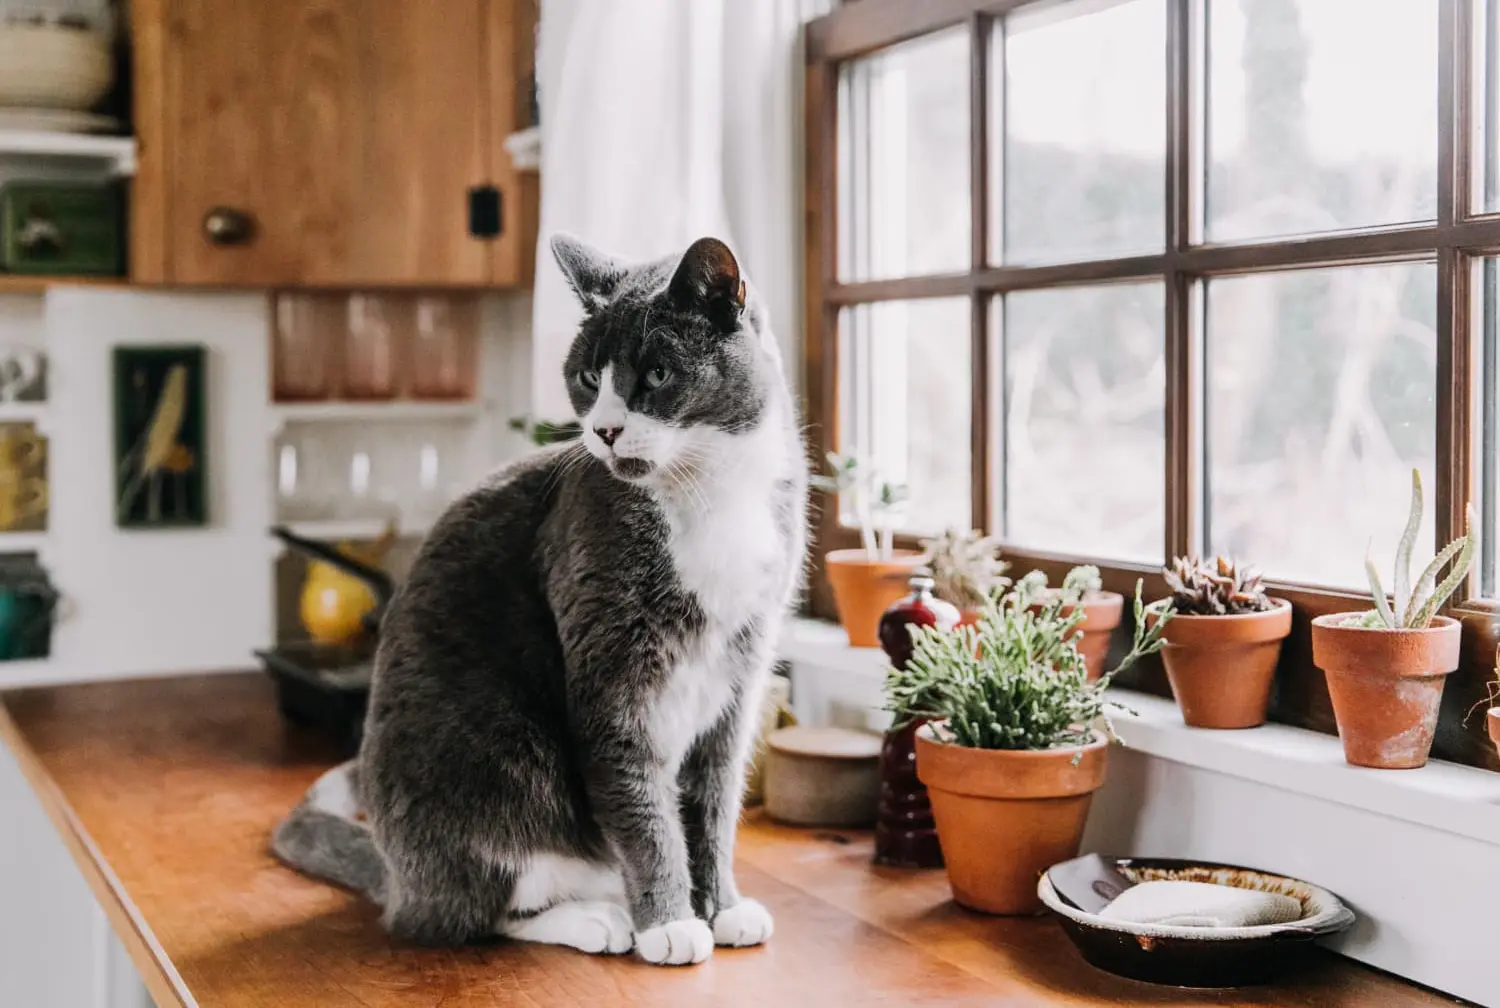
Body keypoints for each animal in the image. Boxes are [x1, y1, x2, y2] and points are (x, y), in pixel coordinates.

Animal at [270, 237, 810, 966]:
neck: (707, 493)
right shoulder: (611, 660)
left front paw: (722, 908)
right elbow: (642, 804)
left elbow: (714, 804)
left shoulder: (740, 672)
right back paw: (600, 919)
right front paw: (670, 923)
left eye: (658, 374)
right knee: (475, 912)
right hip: (502, 776)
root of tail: (396, 878)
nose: (605, 430)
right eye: (586, 377)